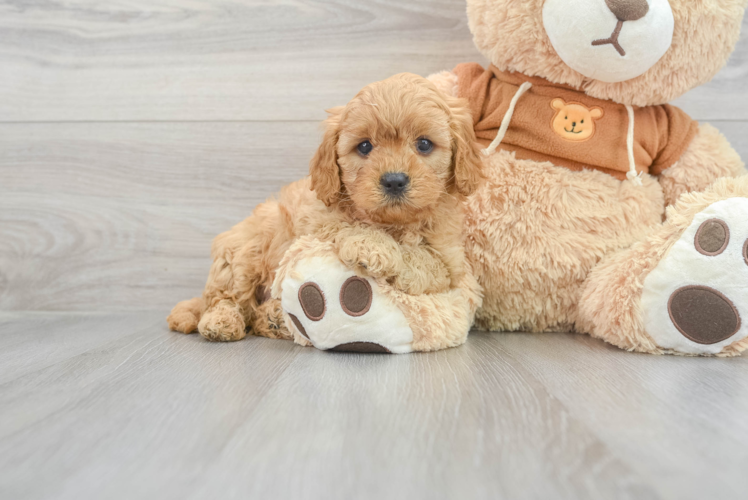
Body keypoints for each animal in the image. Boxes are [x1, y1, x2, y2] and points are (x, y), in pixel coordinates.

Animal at [168, 72, 486, 342]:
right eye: (365, 146)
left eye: (424, 144)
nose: (394, 181)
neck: (393, 222)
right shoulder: (314, 221)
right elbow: (341, 226)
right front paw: (370, 243)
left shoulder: (451, 262)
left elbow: (428, 259)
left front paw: (385, 252)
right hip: (242, 253)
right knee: (227, 297)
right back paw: (221, 321)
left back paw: (272, 318)